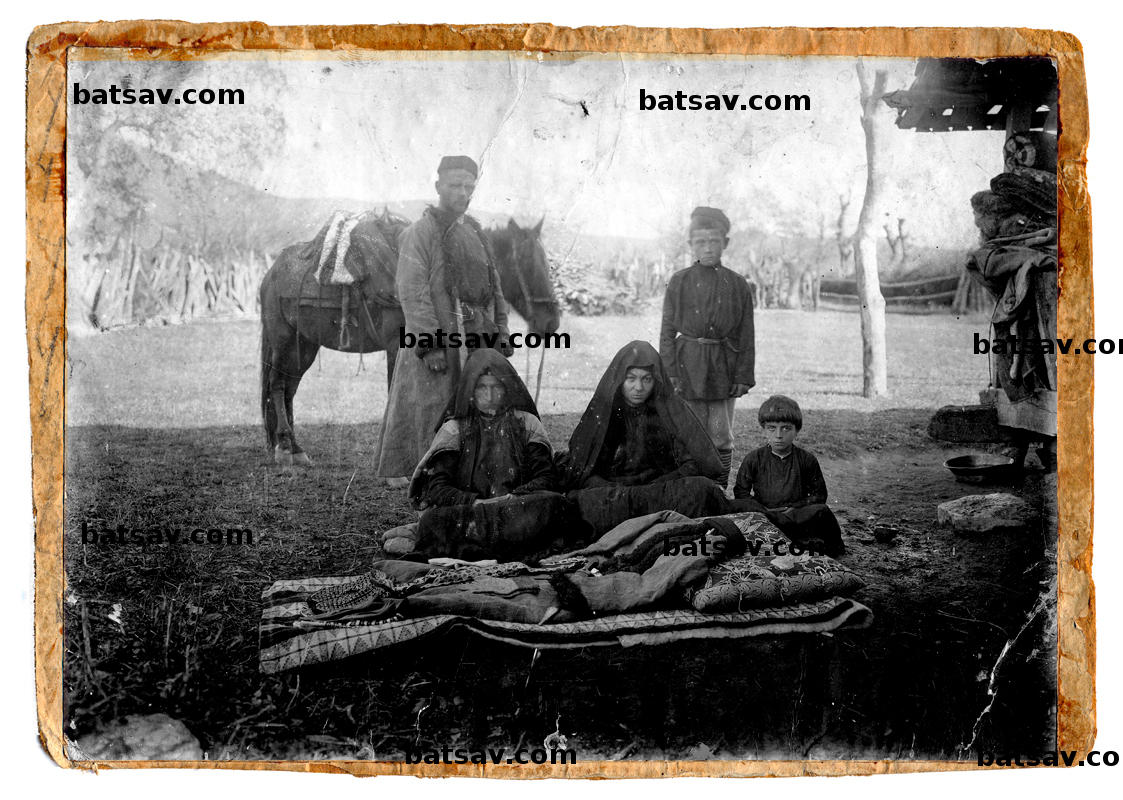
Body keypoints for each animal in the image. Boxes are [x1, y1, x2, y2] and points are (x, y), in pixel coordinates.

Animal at [261, 211, 561, 469]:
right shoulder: (397, 346)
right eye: (528, 264)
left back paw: (294, 446)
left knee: (289, 389)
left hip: (304, 346)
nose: (552, 322)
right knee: (277, 384)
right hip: (284, 341)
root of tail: (271, 275)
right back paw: (285, 447)